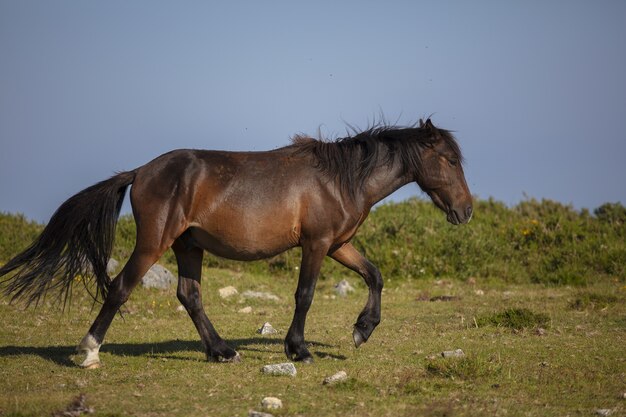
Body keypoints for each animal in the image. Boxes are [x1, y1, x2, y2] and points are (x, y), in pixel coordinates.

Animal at [0, 118, 468, 368]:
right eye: (448, 159)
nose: (465, 212)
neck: (339, 179)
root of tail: (140, 171)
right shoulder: (316, 244)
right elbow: (305, 295)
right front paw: (299, 350)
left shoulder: (337, 244)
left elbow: (375, 275)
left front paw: (362, 330)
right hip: (154, 242)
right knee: (120, 288)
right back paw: (90, 352)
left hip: (188, 246)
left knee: (189, 295)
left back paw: (222, 351)